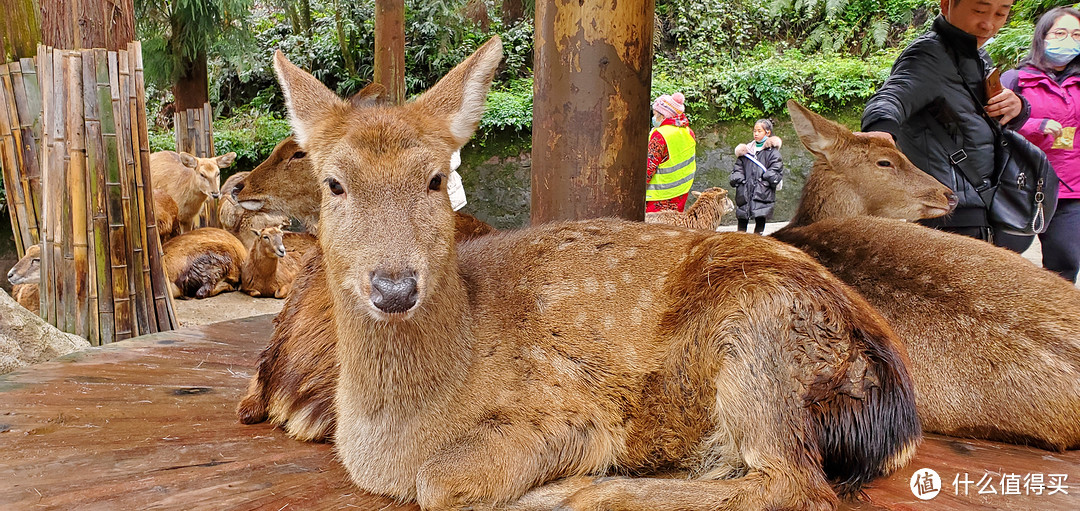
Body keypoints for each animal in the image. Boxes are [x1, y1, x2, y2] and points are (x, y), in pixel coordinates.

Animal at [240, 37, 924, 507]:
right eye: (334, 183)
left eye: (435, 179)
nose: (394, 286)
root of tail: (897, 410)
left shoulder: (566, 409)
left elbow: (441, 481)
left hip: (761, 331)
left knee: (793, 483)